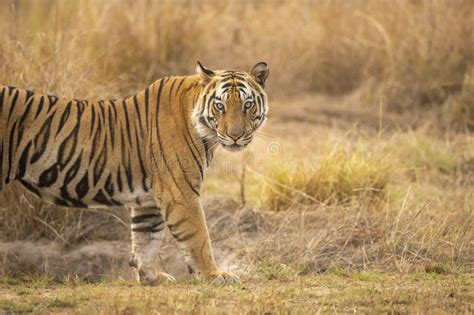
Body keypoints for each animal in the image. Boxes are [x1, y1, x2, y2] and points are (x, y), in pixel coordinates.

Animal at [0, 61, 270, 286]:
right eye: (220, 106)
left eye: (247, 105)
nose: (235, 136)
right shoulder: (180, 191)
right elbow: (198, 237)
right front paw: (215, 276)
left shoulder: (149, 198)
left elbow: (145, 238)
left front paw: (150, 277)